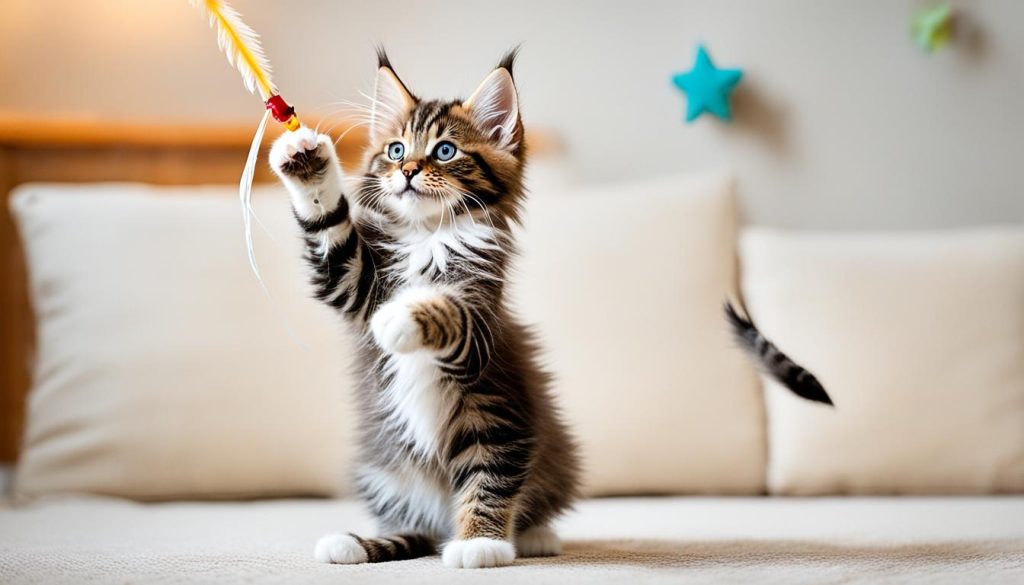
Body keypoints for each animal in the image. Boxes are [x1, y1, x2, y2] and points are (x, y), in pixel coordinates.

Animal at [268, 50, 581, 569]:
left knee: (498, 485)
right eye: (396, 150)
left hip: (511, 436)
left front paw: (479, 545)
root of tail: (439, 519)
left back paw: (521, 537)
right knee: (414, 529)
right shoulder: (355, 282)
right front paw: (307, 161)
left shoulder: (481, 331)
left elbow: (448, 310)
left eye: (445, 151)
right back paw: (354, 544)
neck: (429, 237)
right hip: (384, 472)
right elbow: (332, 233)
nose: (409, 170)